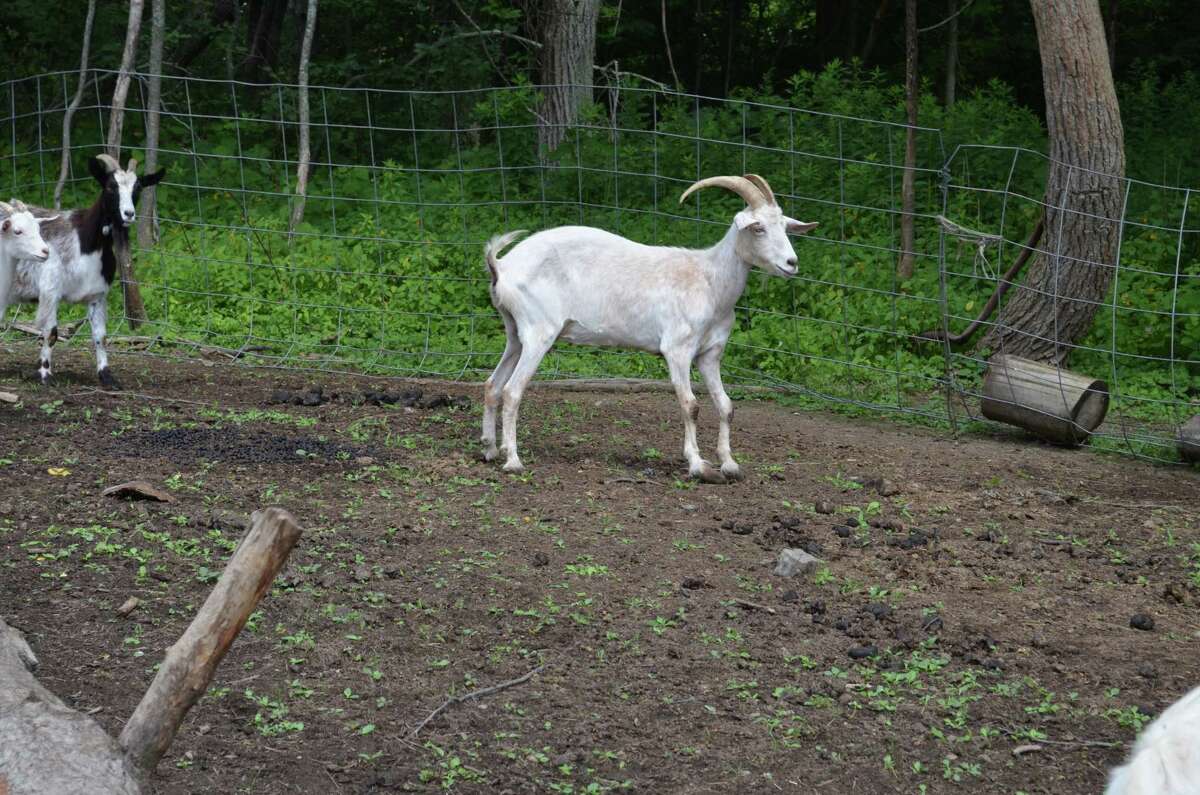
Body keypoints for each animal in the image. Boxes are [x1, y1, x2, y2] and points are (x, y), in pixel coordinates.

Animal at [1, 153, 164, 389]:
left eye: (138, 188)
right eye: (110, 186)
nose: (128, 214)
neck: (85, 242)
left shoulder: (98, 295)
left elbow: (100, 336)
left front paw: (107, 376)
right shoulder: (51, 291)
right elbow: (51, 333)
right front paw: (45, 374)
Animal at [482, 174, 820, 482]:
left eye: (784, 226)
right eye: (758, 227)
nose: (791, 263)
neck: (709, 280)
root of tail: (502, 266)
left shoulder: (710, 354)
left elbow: (725, 405)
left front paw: (729, 464)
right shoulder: (677, 349)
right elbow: (691, 405)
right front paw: (698, 465)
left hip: (515, 334)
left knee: (493, 385)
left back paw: (489, 449)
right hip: (539, 332)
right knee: (512, 390)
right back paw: (512, 460)